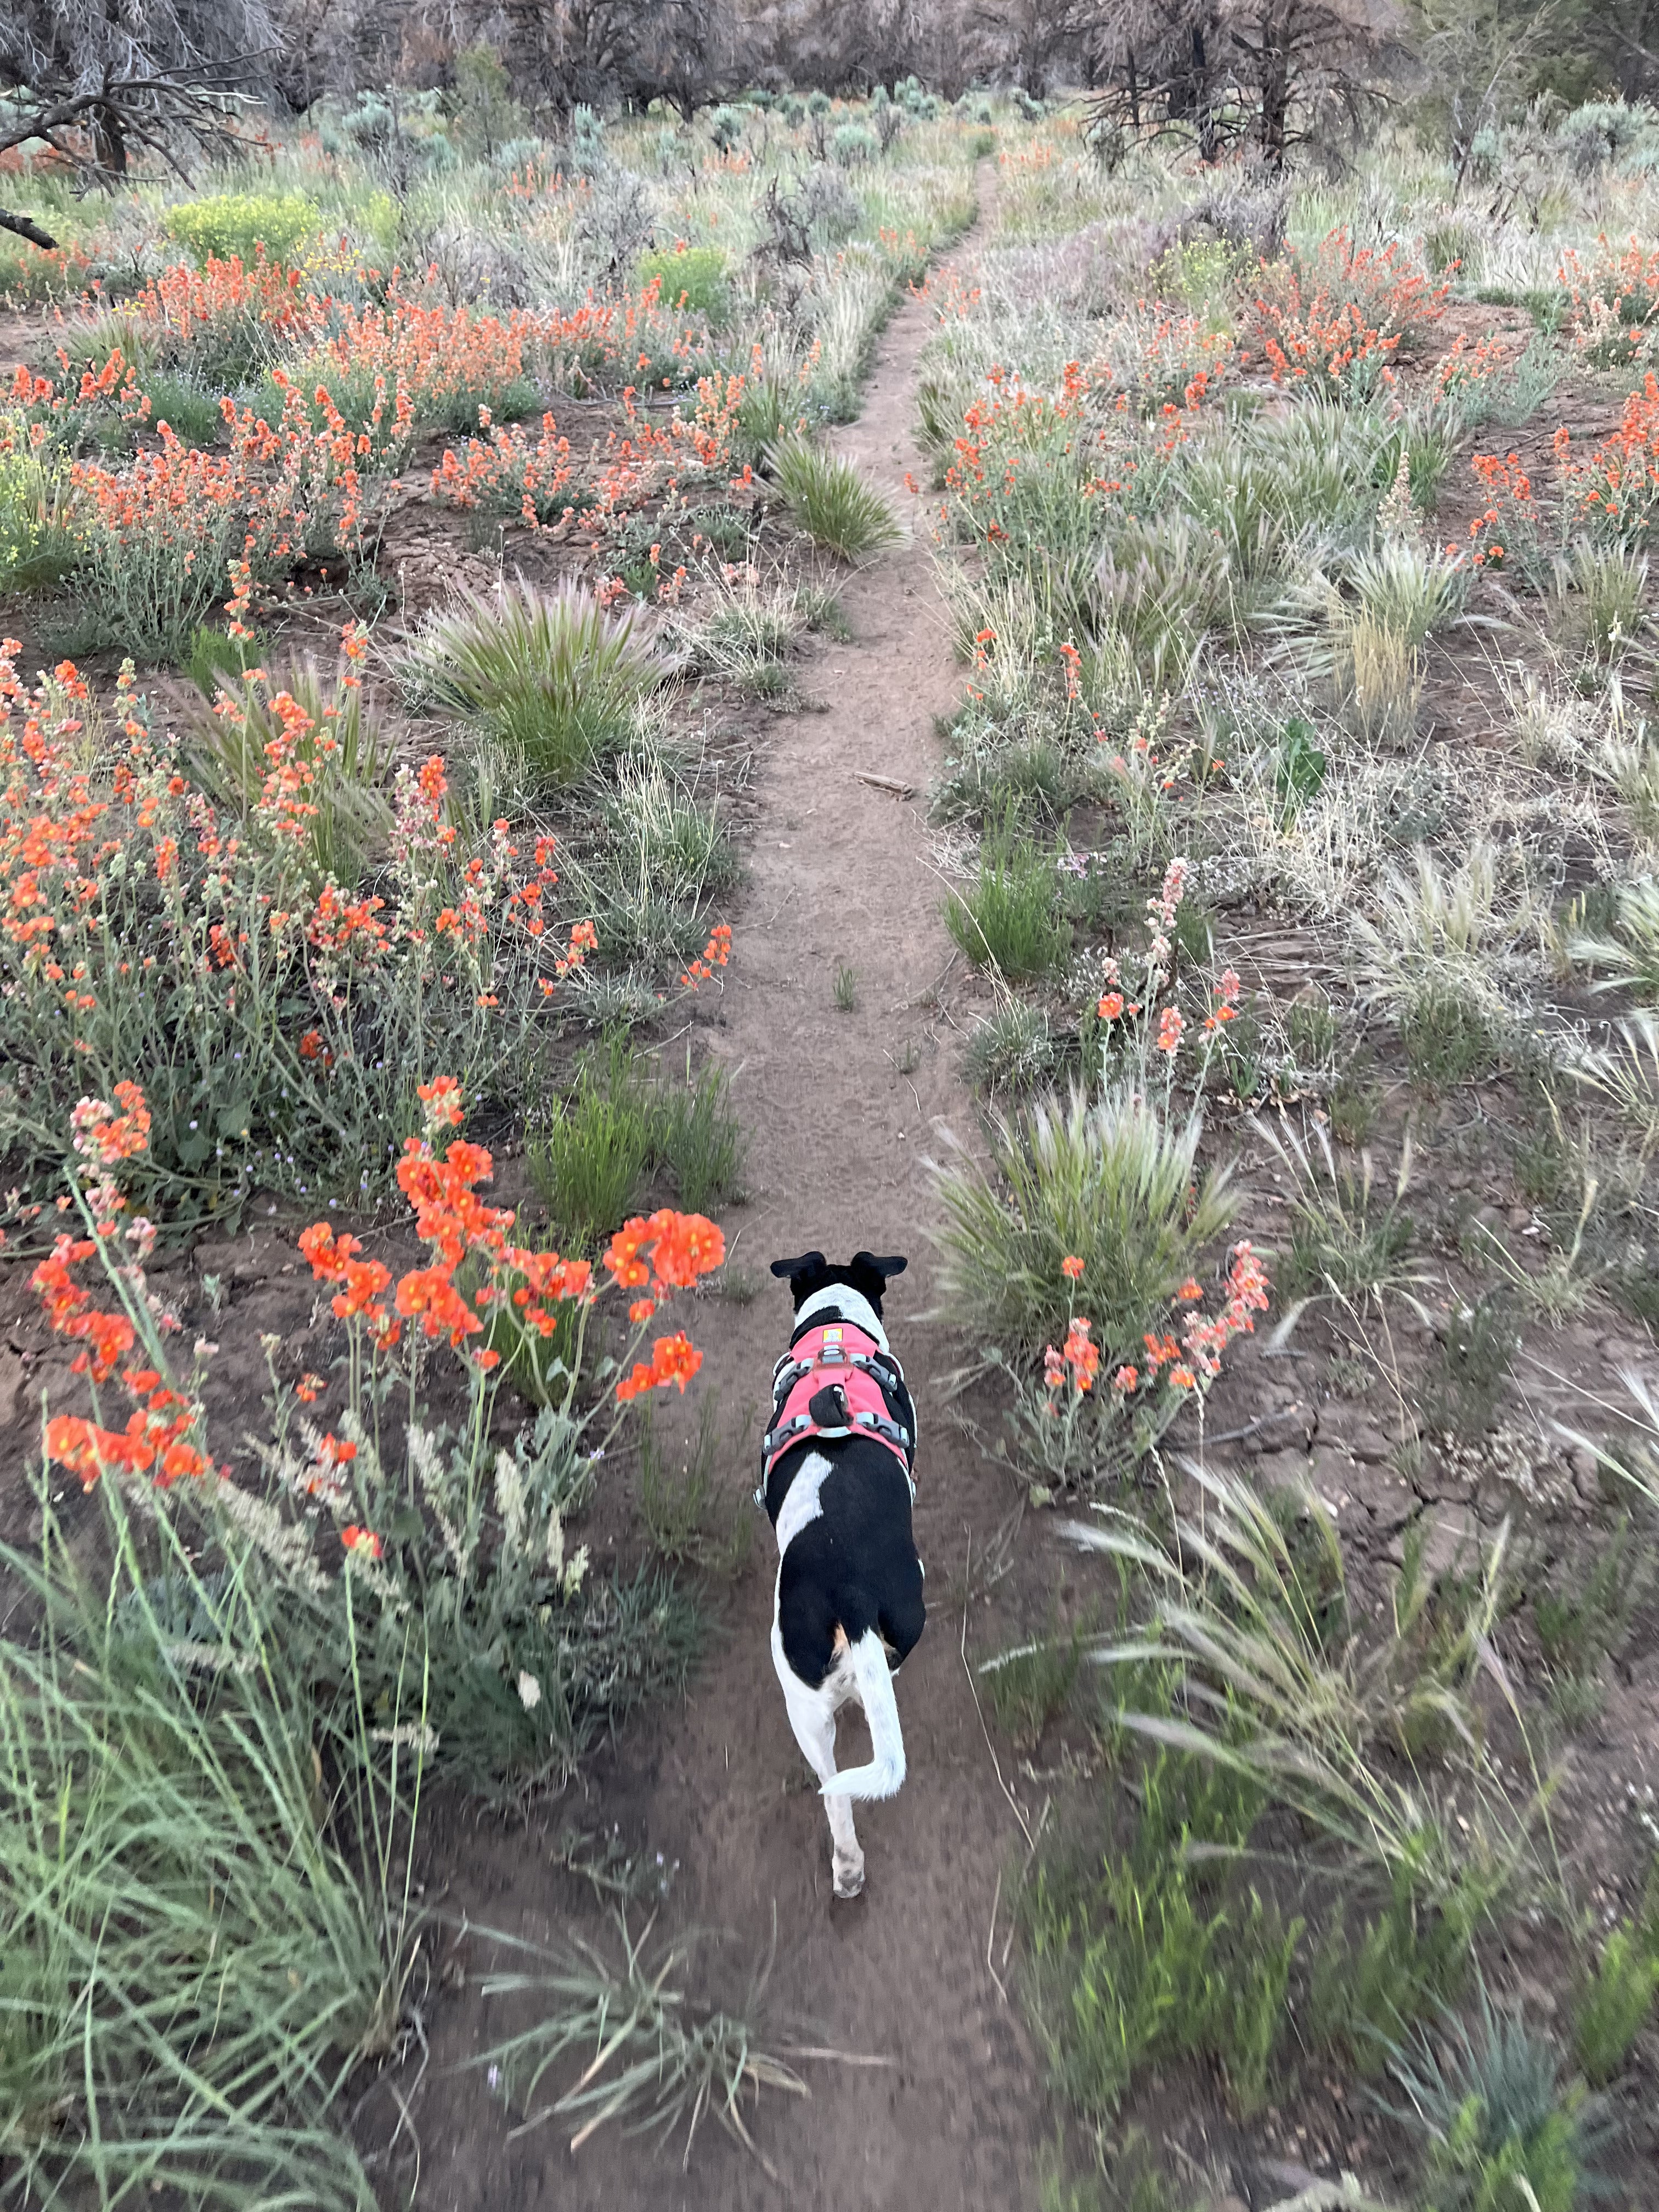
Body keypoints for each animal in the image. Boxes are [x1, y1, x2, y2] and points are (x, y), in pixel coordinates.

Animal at [765, 1256, 929, 1893]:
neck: (834, 1331)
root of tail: (852, 1591)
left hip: (801, 1701)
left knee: (833, 1791)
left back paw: (847, 1864)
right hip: (902, 1620)